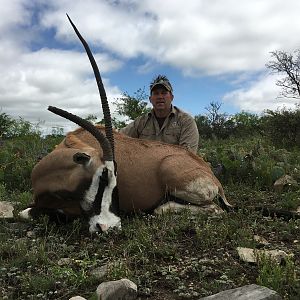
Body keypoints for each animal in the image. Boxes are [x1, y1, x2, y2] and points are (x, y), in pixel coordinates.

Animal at [18, 15, 233, 233]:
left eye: (115, 181)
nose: (109, 226)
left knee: (212, 209)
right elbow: (23, 212)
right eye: (103, 177)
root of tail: (210, 173)